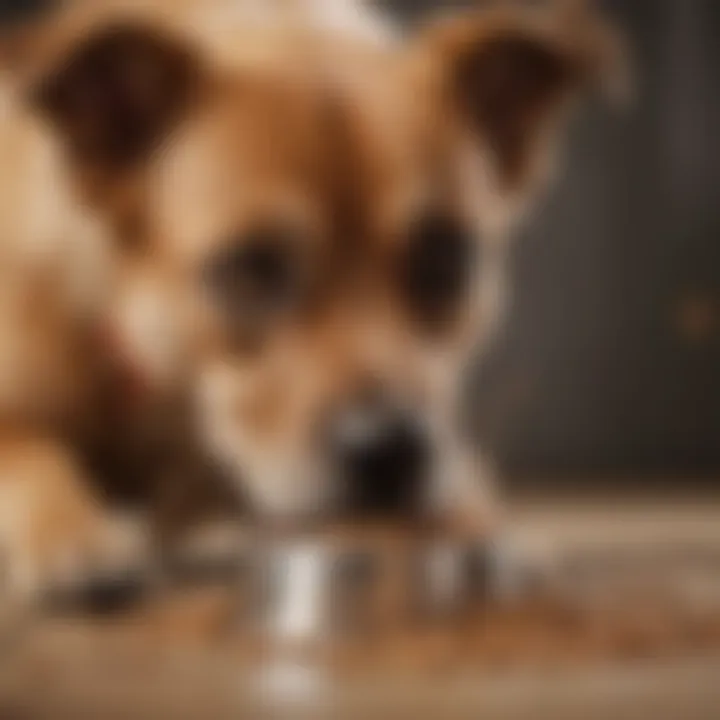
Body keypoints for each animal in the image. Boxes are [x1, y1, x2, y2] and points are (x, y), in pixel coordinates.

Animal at [0, 1, 620, 600]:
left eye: (447, 256)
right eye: (254, 264)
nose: (389, 452)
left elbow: (459, 460)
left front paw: (471, 521)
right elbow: (28, 449)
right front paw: (70, 533)